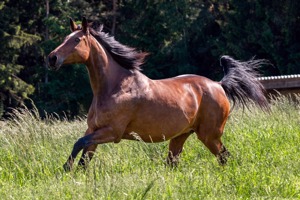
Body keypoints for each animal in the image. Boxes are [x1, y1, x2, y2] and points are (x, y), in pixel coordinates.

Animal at [47, 17, 270, 171]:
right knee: (174, 163)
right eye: (65, 38)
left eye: (77, 40)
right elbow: (84, 157)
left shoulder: (112, 132)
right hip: (180, 137)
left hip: (210, 135)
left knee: (224, 157)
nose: (52, 58)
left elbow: (79, 143)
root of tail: (218, 84)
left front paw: (66, 168)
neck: (114, 87)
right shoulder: (93, 130)